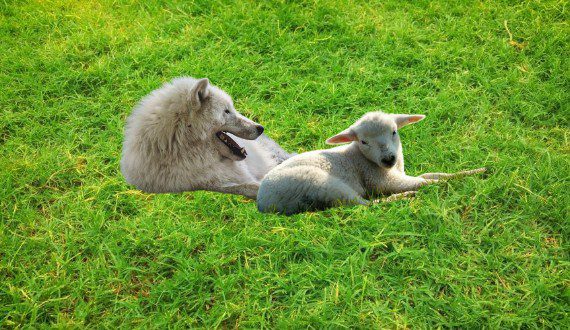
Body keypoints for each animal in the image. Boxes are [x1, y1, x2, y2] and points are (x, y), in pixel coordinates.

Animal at [258, 111, 484, 214]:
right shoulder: (380, 180)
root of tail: (262, 204)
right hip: (320, 184)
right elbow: (425, 182)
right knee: (364, 205)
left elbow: (432, 175)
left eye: (394, 131)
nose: (388, 158)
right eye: (364, 141)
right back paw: (403, 197)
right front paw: (465, 178)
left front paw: (473, 171)